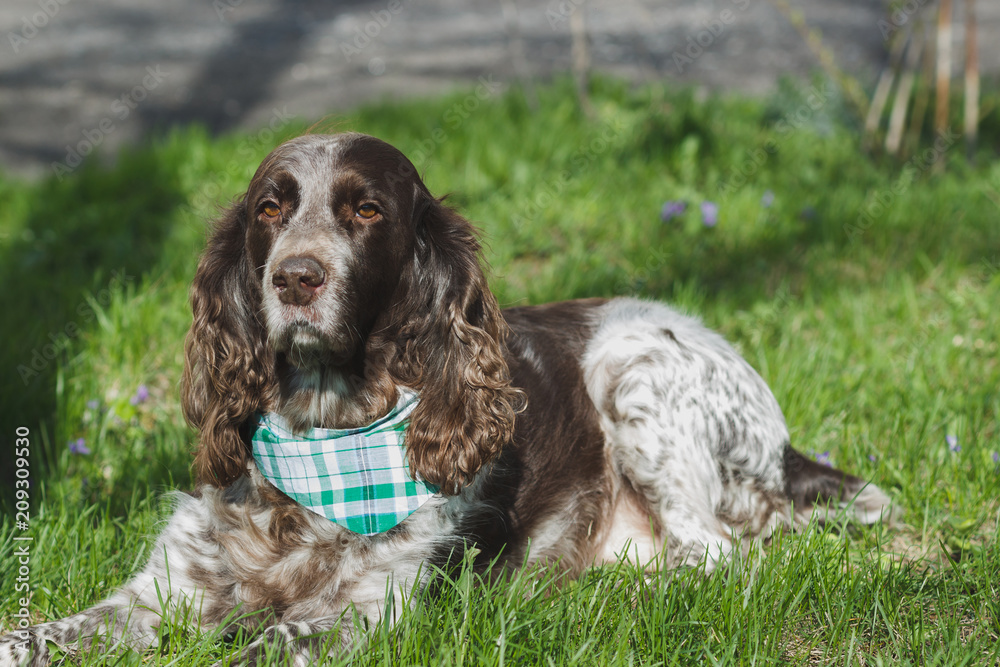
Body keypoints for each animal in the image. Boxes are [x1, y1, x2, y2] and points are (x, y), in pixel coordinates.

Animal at [0, 133, 892, 664]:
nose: (295, 277)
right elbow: (38, 632)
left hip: (629, 365)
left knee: (717, 557)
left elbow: (261, 641)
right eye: (269, 207)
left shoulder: (373, 611)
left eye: (366, 208)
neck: (325, 437)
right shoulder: (163, 589)